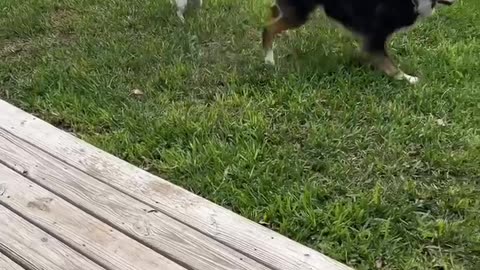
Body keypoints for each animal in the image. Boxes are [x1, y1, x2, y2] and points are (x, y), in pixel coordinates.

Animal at [264, 0, 456, 83]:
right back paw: (269, 60)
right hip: (299, 13)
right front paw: (408, 79)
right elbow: (391, 66)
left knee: (274, 11)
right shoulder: (375, 37)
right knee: (268, 29)